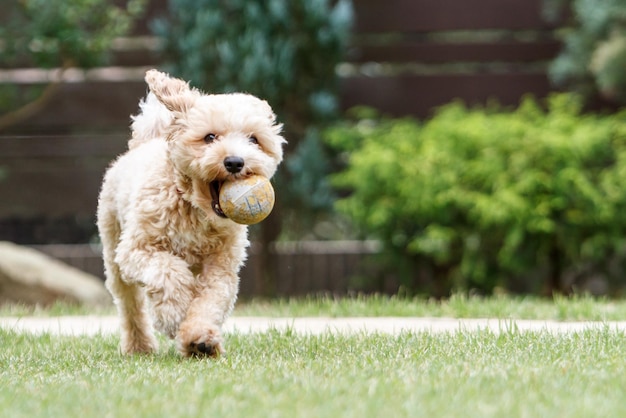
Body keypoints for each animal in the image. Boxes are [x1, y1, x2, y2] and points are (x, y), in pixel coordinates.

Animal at [97, 70, 286, 358]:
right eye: (209, 137)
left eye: (254, 139)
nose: (235, 162)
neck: (194, 208)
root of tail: (145, 142)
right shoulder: (138, 249)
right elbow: (168, 273)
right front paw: (174, 315)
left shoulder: (221, 266)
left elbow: (210, 300)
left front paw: (199, 338)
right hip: (113, 248)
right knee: (129, 302)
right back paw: (139, 346)